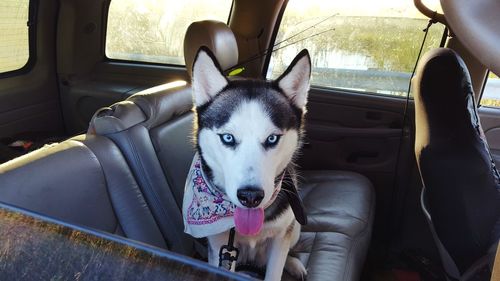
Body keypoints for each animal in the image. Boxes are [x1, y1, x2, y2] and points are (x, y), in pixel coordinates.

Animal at [182, 46, 310, 280]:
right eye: (228, 138)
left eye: (272, 138)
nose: (250, 196)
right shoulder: (220, 247)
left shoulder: (281, 238)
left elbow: (275, 270)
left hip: (295, 225)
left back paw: (294, 263)